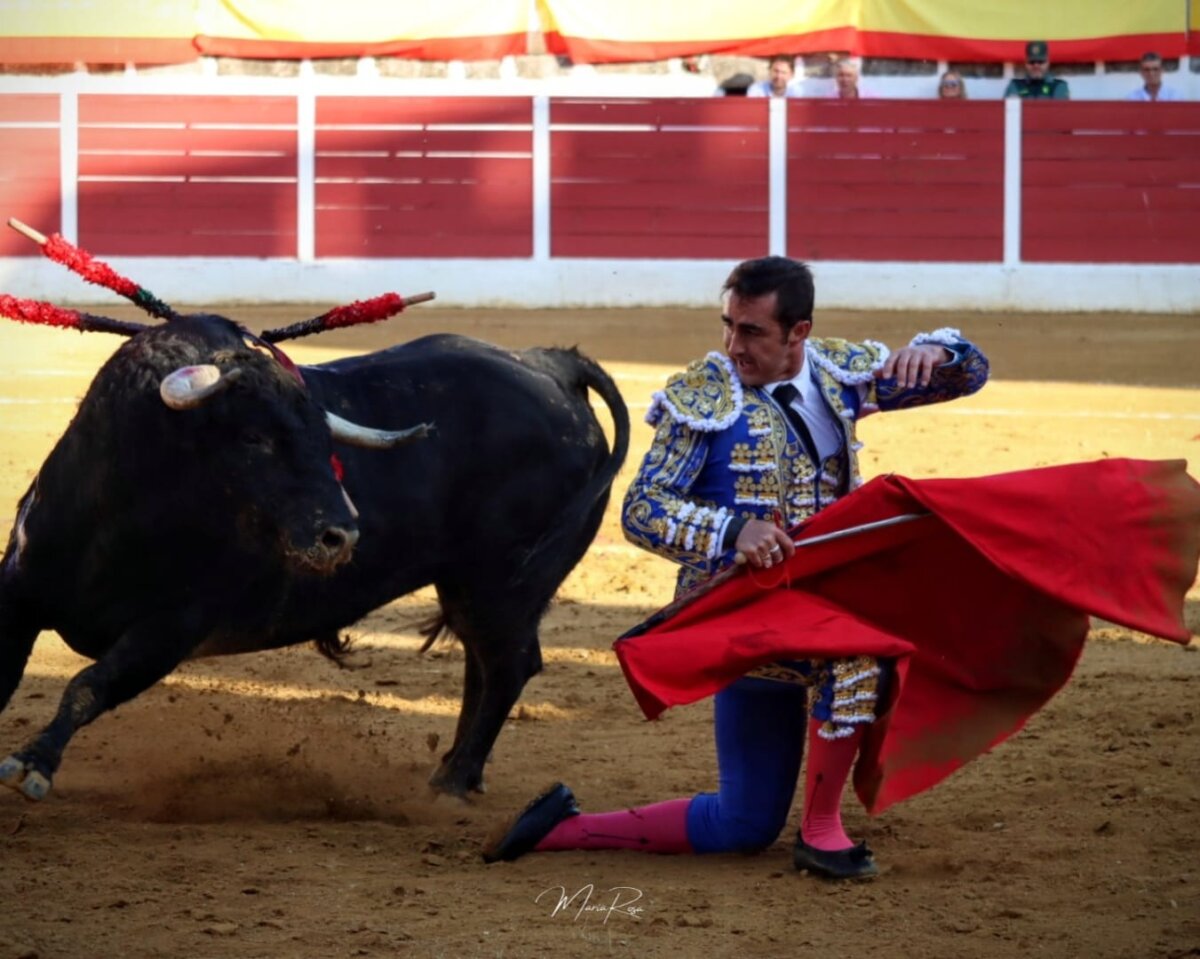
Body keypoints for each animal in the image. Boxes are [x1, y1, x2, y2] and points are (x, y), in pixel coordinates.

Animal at [0, 301, 629, 803]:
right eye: (253, 438)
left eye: (324, 440)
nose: (341, 535)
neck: (118, 514)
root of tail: (549, 365)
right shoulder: (19, 595)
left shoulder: (171, 629)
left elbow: (89, 685)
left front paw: (32, 765)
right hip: (475, 590)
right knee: (484, 664)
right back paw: (454, 770)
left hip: (503, 585)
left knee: (508, 665)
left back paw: (452, 783)